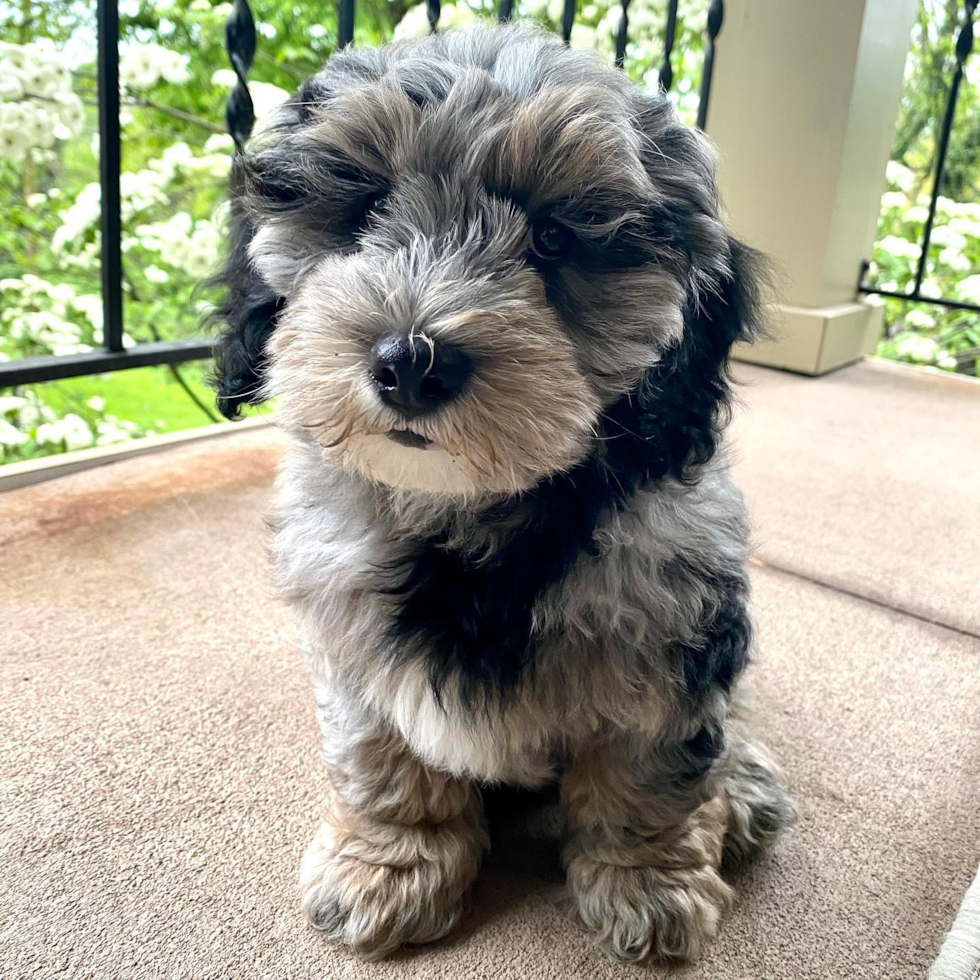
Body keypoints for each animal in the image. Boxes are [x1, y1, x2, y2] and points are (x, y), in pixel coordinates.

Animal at [212, 19, 796, 960]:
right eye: (365, 209)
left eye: (555, 239)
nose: (410, 361)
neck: (471, 511)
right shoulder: (352, 631)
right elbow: (382, 757)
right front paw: (392, 863)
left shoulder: (667, 628)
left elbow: (648, 766)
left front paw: (648, 880)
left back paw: (738, 787)